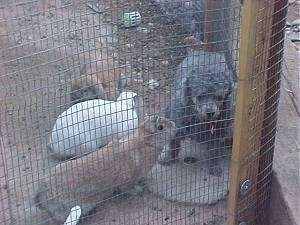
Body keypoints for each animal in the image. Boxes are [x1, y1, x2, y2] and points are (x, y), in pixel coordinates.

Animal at [34, 115, 176, 224]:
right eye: (160, 127)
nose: (174, 125)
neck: (146, 142)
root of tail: (43, 192)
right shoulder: (128, 179)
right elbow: (128, 188)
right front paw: (138, 190)